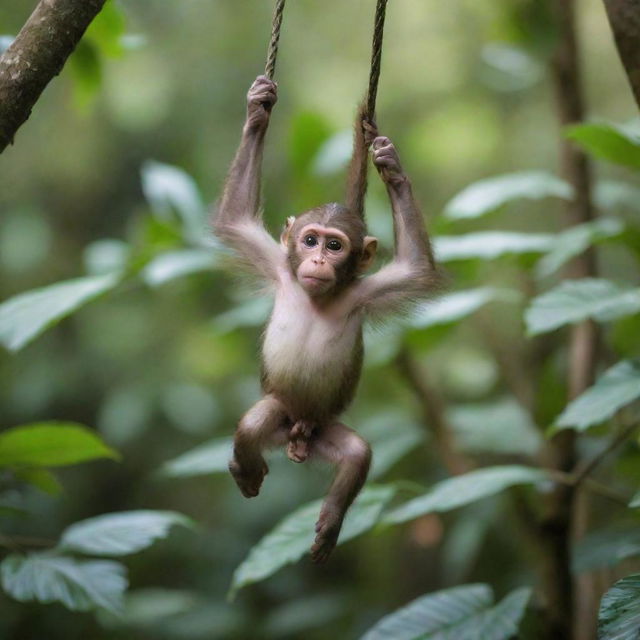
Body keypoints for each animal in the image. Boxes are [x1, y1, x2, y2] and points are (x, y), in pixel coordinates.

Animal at [215, 76, 436, 564]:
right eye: (310, 239)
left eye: (335, 246)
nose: (317, 259)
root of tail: (299, 436)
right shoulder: (278, 266)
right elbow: (235, 218)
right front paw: (257, 110)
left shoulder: (366, 291)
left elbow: (415, 268)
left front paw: (392, 169)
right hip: (280, 411)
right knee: (253, 425)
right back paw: (245, 468)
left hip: (324, 429)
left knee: (355, 453)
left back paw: (330, 522)